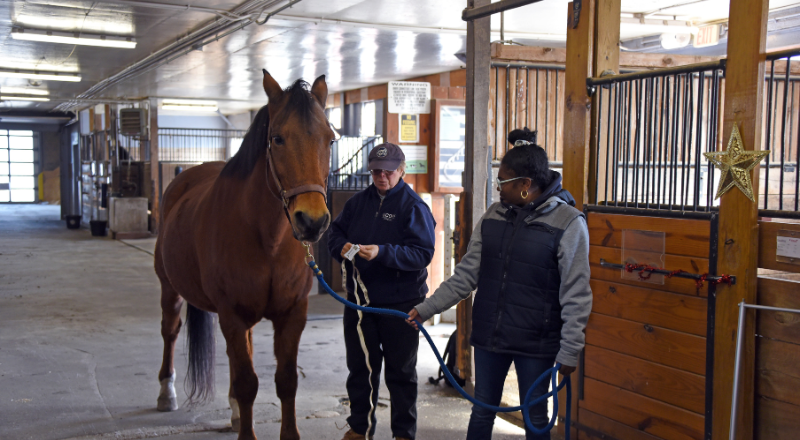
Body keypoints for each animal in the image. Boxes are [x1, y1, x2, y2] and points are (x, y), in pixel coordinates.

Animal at [155, 70, 332, 438]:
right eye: (277, 139)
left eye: (331, 140)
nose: (312, 221)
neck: (268, 241)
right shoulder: (232, 314)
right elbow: (249, 383)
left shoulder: (292, 314)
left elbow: (286, 380)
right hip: (169, 287)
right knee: (170, 330)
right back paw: (166, 392)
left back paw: (234, 409)